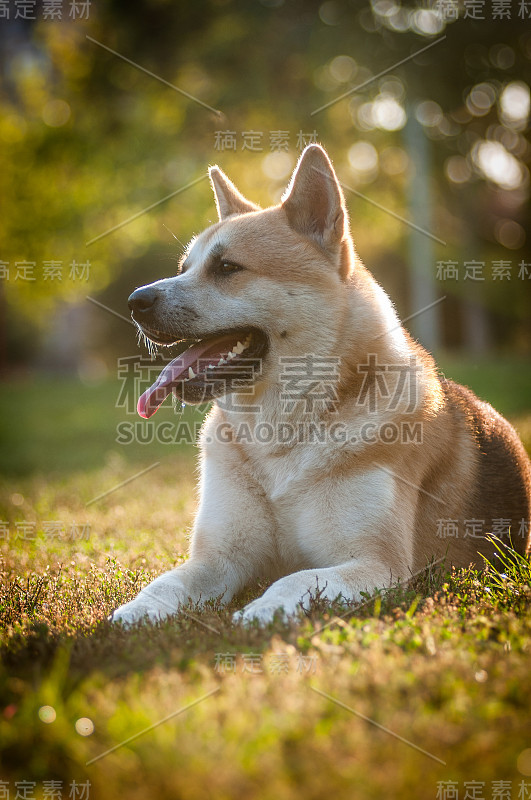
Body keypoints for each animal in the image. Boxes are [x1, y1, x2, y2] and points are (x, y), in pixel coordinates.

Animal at [111, 147, 528, 628]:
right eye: (184, 269)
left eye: (227, 267)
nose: (134, 301)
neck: (284, 434)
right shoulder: (218, 560)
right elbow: (166, 584)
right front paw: (134, 613)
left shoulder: (376, 564)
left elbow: (293, 579)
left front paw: (263, 609)